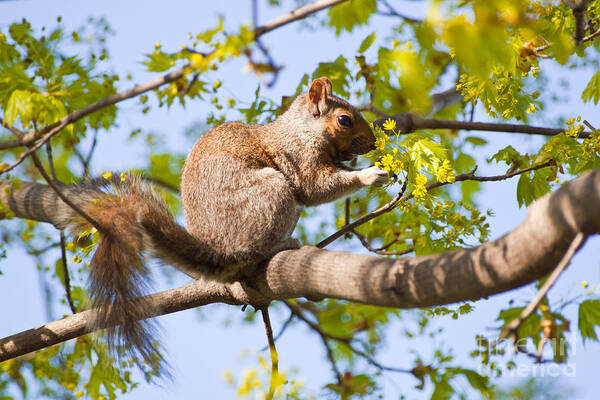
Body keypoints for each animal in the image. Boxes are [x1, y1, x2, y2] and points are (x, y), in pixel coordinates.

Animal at [1, 76, 390, 370]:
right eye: (344, 120)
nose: (373, 143)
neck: (302, 130)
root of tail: (218, 252)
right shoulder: (298, 157)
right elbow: (314, 187)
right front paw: (369, 174)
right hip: (271, 195)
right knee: (255, 247)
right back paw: (280, 245)